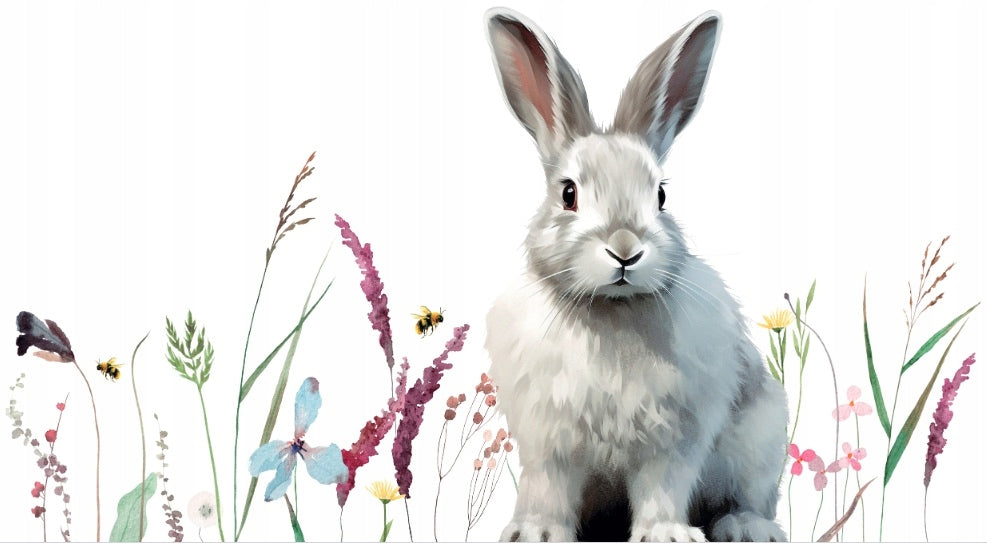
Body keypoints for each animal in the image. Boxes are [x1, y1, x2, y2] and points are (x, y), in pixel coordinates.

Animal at [483, 7, 789, 542]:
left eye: (661, 195)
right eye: (568, 194)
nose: (625, 251)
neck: (612, 310)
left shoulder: (672, 438)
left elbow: (662, 485)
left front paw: (667, 534)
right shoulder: (550, 441)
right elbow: (550, 488)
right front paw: (535, 532)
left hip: (761, 443)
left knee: (747, 498)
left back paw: (747, 527)